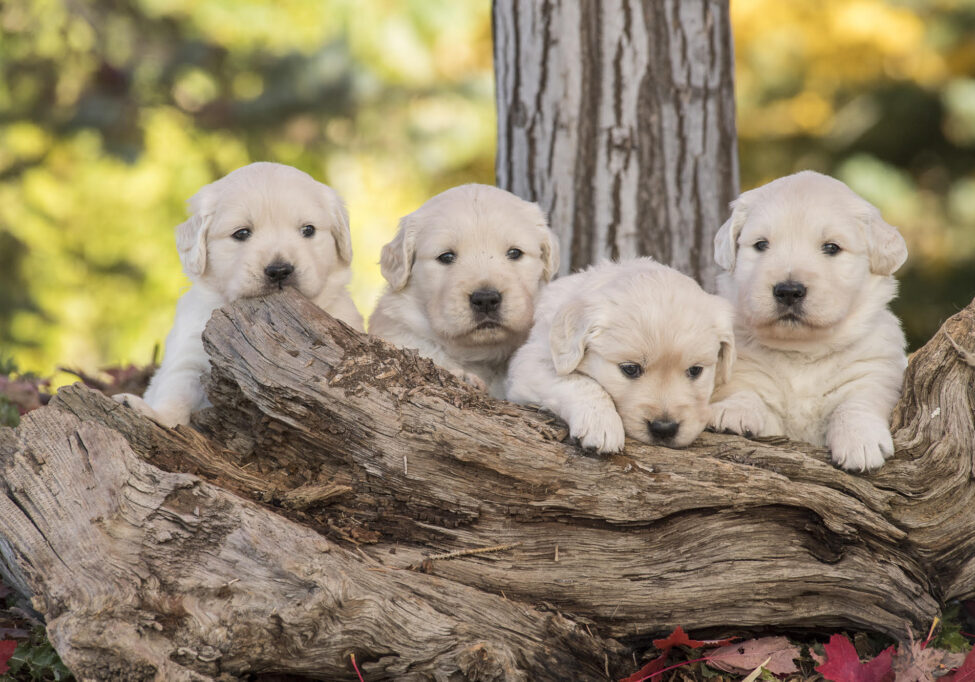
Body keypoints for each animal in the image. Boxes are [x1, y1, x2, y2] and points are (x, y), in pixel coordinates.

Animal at [114, 161, 364, 424]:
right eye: (241, 233)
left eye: (308, 230)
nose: (279, 270)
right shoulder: (190, 350)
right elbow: (175, 391)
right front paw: (154, 413)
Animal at [508, 258, 736, 454]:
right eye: (630, 369)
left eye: (695, 370)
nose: (664, 428)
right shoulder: (530, 362)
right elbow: (578, 381)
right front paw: (601, 422)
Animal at [704, 169, 912, 472]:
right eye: (761, 245)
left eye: (831, 247)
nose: (788, 291)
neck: (802, 351)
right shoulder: (743, 364)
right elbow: (746, 389)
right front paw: (733, 411)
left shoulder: (873, 370)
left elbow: (857, 402)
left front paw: (859, 441)